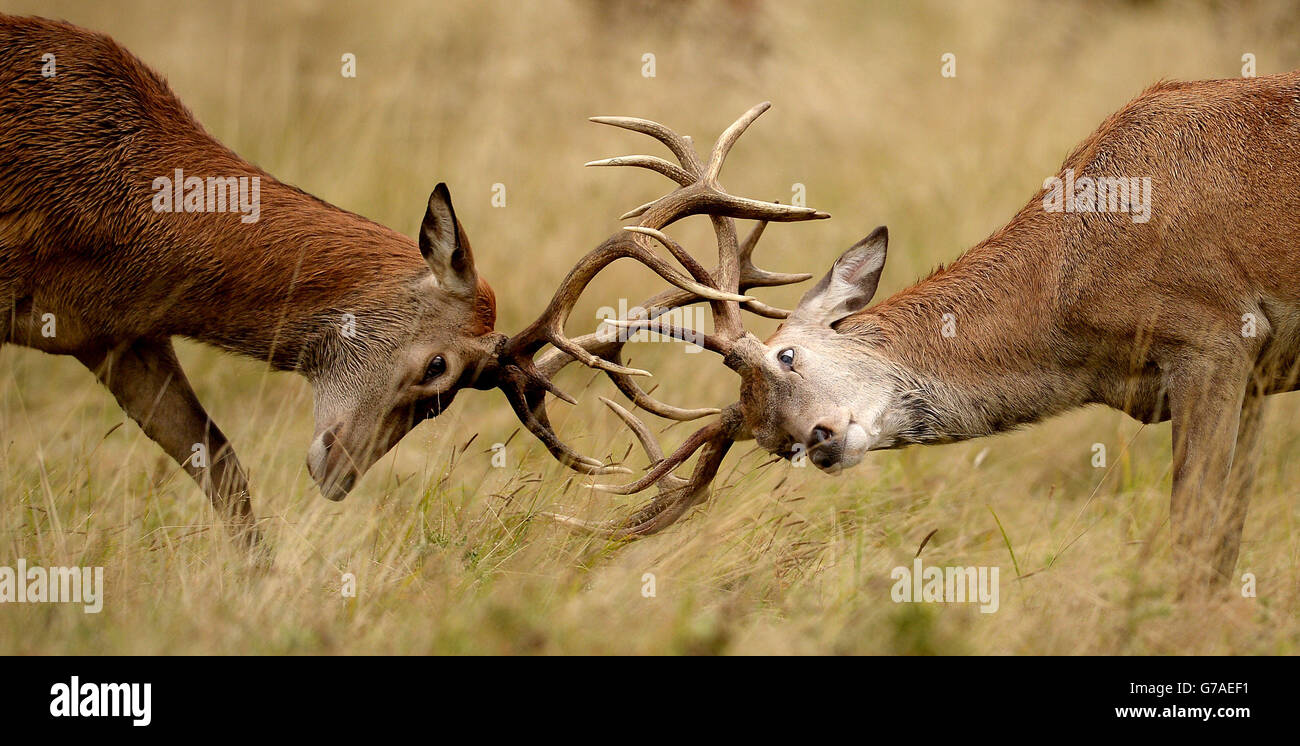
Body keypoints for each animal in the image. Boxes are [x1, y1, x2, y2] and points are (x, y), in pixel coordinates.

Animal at [531, 72, 1300, 590]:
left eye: (788, 355)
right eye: (775, 447)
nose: (820, 441)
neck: (1071, 284)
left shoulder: (1212, 335)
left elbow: (1195, 541)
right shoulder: (1254, 373)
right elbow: (1224, 543)